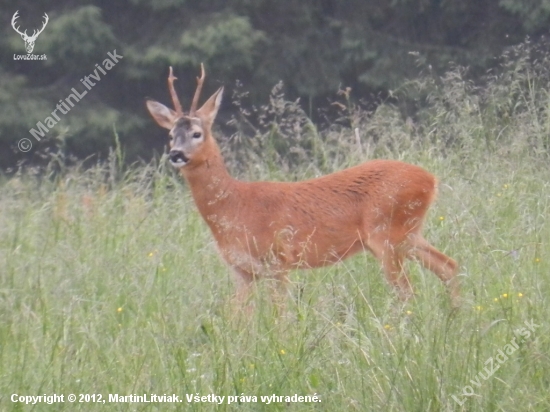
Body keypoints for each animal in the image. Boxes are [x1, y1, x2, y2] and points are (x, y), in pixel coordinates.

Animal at [148, 65, 462, 306]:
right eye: (171, 135)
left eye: (197, 133)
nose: (176, 154)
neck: (234, 205)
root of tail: (431, 179)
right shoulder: (242, 272)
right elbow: (238, 319)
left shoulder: (278, 260)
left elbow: (280, 317)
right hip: (407, 234)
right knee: (449, 266)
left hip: (386, 234)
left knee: (408, 292)